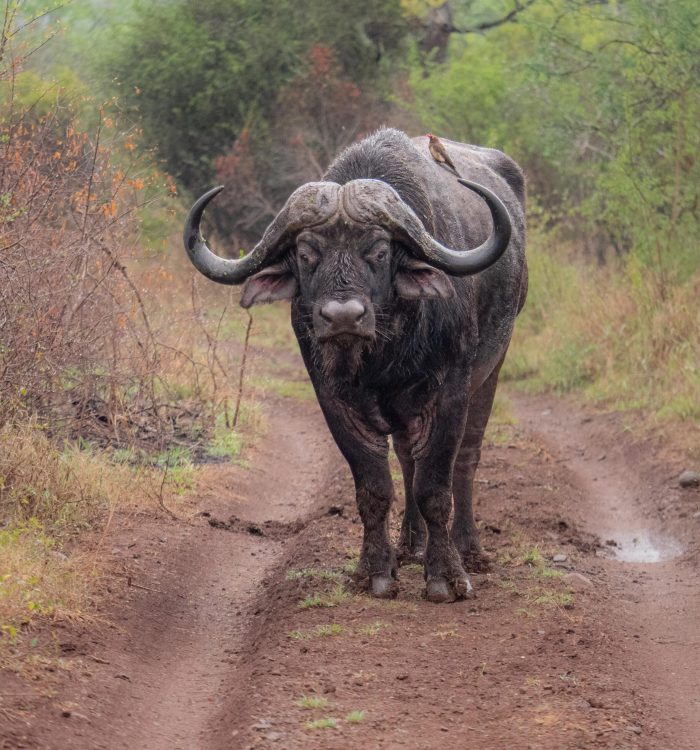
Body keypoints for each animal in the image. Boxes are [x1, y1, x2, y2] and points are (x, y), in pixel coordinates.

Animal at [183, 128, 527, 602]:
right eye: (307, 254)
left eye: (379, 252)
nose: (343, 317)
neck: (383, 357)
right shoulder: (334, 400)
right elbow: (374, 487)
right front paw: (376, 570)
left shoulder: (450, 395)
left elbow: (435, 486)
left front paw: (445, 576)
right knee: (406, 459)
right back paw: (410, 546)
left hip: (492, 369)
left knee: (466, 459)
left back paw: (469, 549)